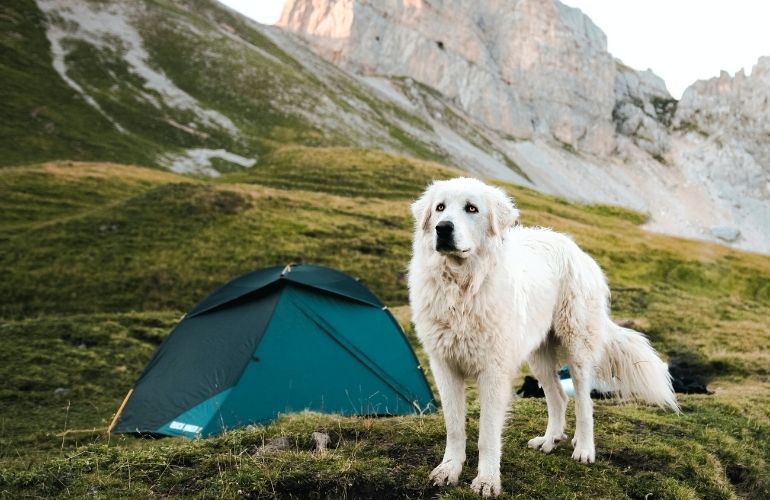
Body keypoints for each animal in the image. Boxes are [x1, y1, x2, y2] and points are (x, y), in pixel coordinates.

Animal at [404, 179, 676, 496]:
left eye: (471, 208)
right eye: (440, 208)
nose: (443, 228)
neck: (462, 287)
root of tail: (575, 248)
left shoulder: (494, 372)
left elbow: (487, 435)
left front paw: (487, 480)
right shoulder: (444, 366)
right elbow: (455, 426)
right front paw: (449, 470)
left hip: (577, 347)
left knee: (584, 402)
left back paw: (584, 449)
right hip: (539, 356)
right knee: (558, 396)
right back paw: (550, 440)